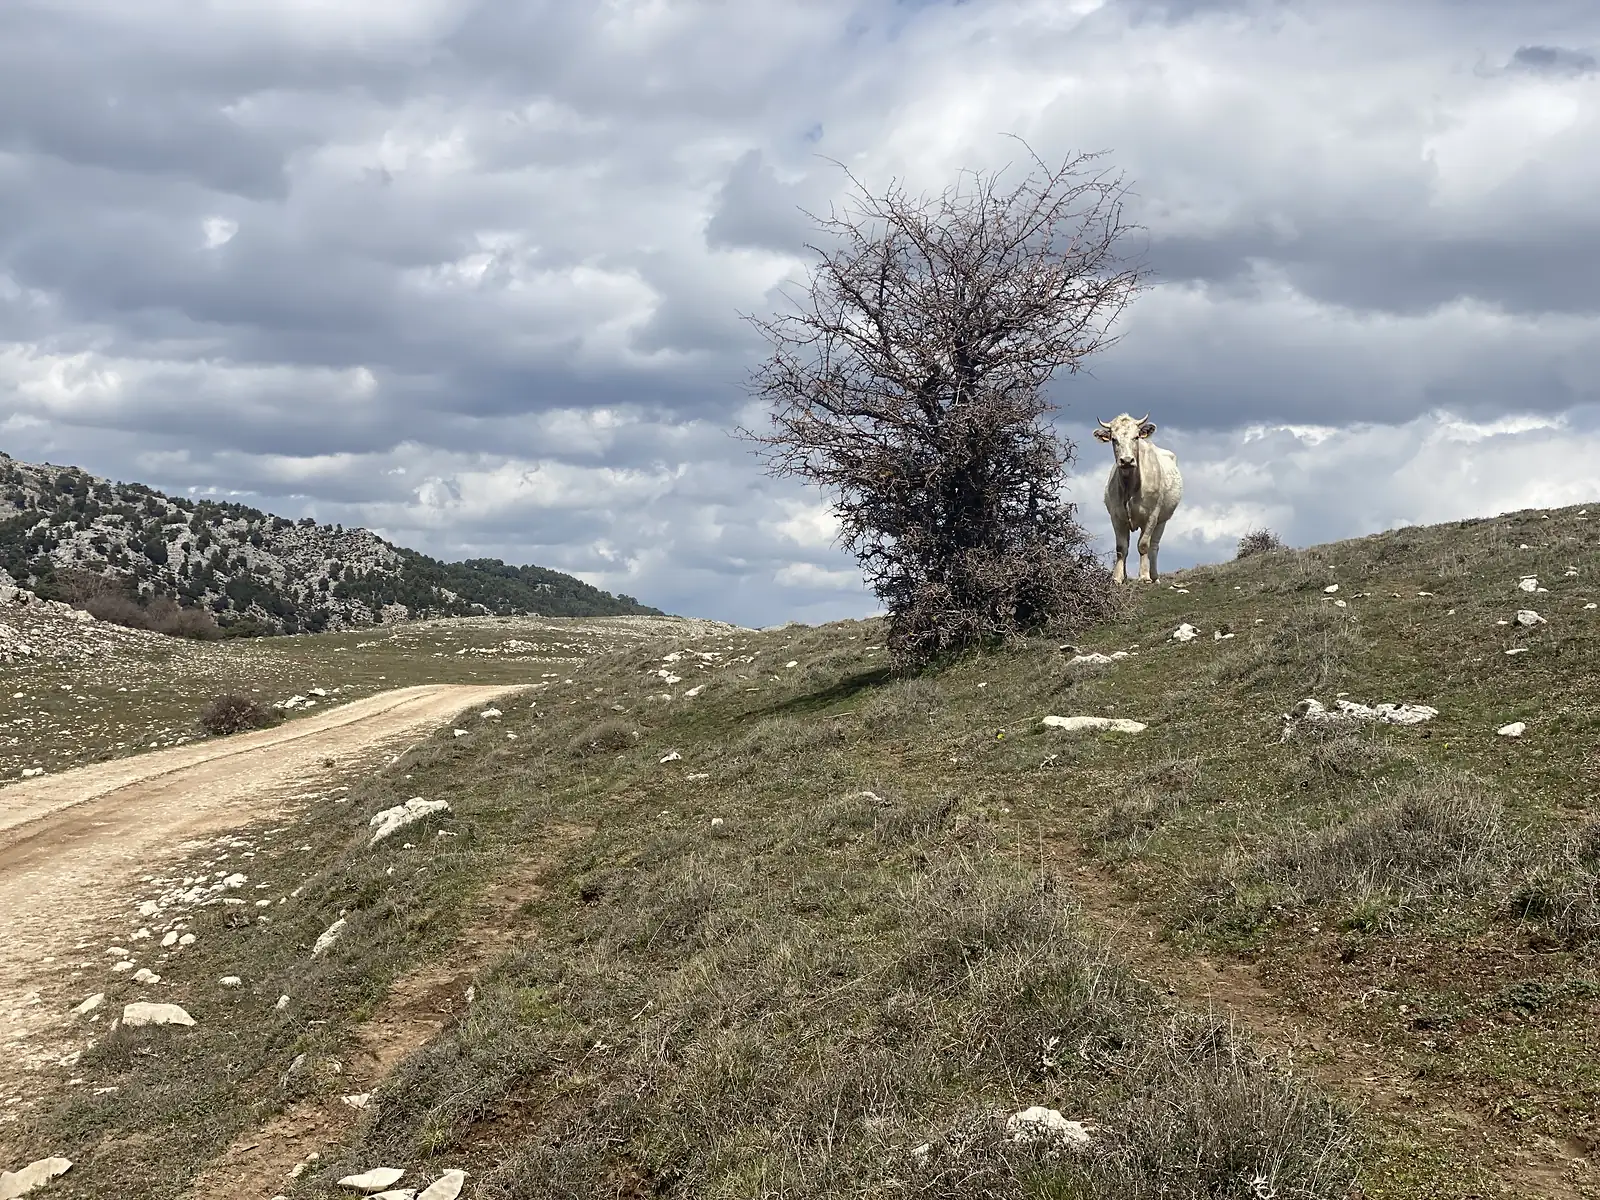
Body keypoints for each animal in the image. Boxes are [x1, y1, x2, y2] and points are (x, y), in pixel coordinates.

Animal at [1093, 413, 1184, 584]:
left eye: (1136, 437)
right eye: (1114, 439)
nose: (1127, 460)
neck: (1130, 487)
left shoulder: (1151, 516)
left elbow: (1143, 545)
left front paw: (1144, 576)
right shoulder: (1116, 517)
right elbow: (1121, 548)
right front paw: (1118, 577)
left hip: (1162, 520)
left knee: (1154, 546)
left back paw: (1154, 576)